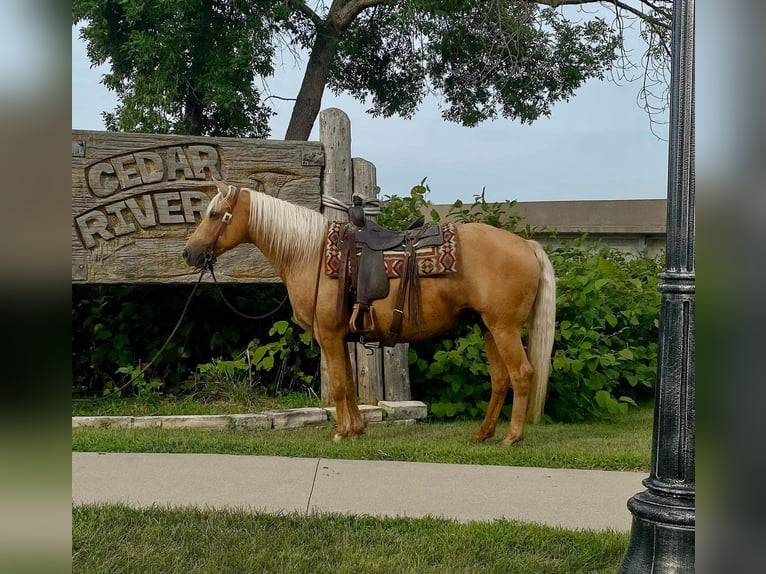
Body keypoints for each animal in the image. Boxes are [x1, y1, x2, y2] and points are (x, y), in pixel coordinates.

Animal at [186, 183, 560, 446]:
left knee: (522, 374)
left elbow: (339, 385)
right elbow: (350, 384)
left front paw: (341, 432)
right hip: (488, 327)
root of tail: (527, 245)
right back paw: (483, 434)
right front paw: (357, 429)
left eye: (216, 215)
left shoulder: (329, 334)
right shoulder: (341, 336)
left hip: (504, 327)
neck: (309, 253)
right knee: (500, 379)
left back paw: (512, 437)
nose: (189, 253)